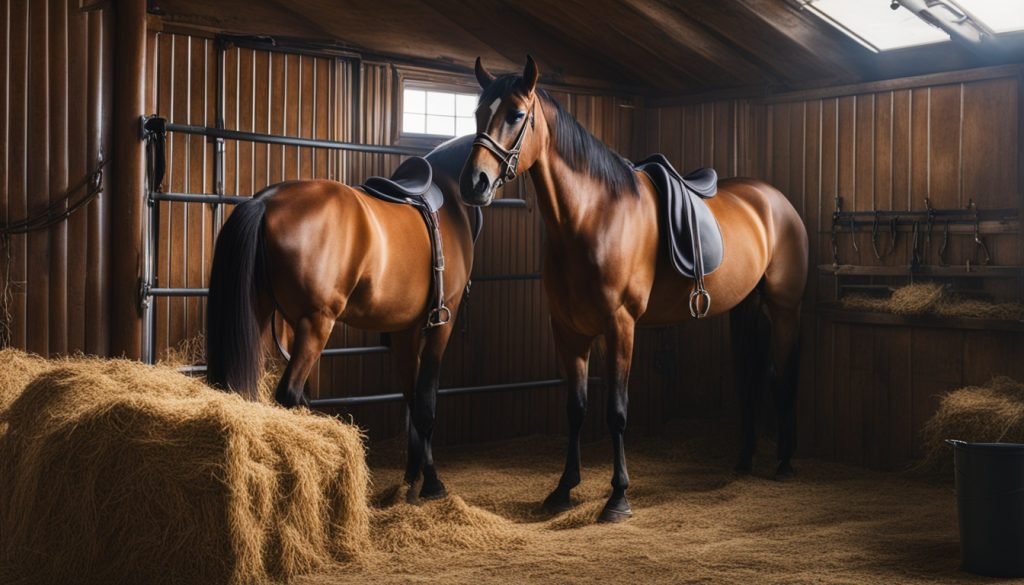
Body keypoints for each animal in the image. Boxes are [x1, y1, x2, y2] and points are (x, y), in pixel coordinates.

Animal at [205, 135, 479, 502]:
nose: (482, 182)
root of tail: (263, 203)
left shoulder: (405, 330)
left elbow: (411, 399)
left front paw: (409, 481)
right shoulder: (441, 323)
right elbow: (426, 403)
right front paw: (432, 484)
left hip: (260, 318)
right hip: (316, 324)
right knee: (289, 393)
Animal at [460, 57, 808, 523]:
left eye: (516, 115)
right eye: (479, 112)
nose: (474, 183)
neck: (591, 216)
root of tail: (777, 201)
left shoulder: (620, 326)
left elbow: (617, 411)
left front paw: (618, 497)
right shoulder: (568, 330)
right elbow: (576, 408)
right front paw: (563, 489)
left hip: (785, 308)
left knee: (783, 375)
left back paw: (784, 464)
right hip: (745, 309)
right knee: (750, 379)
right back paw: (743, 462)